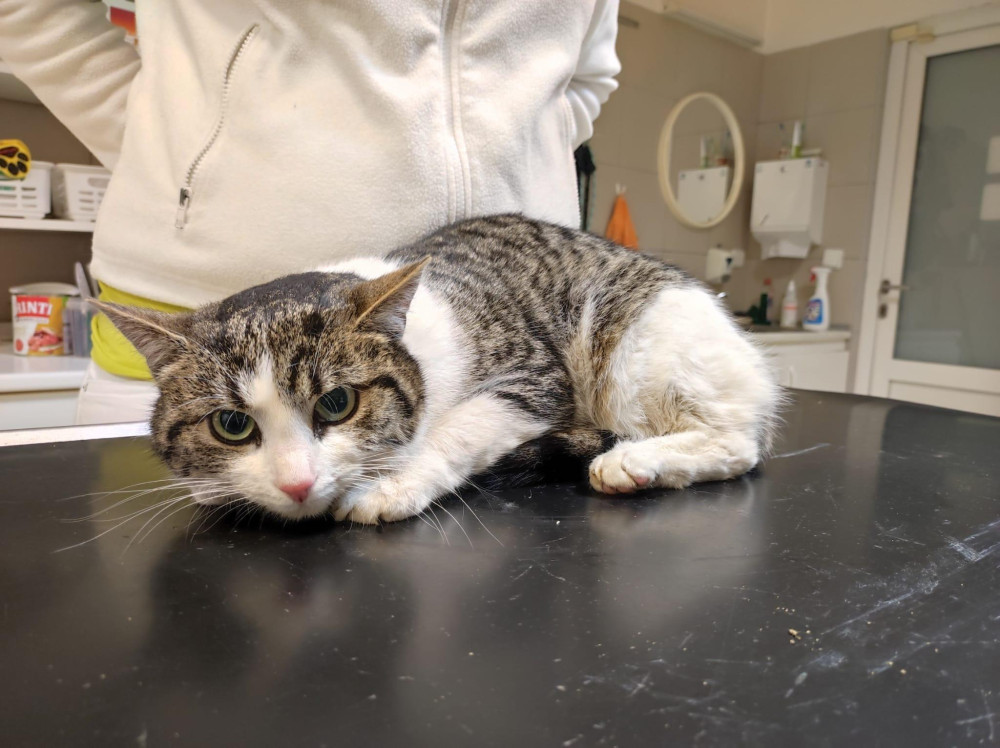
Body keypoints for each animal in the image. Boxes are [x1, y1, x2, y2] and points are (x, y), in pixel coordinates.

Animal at [95, 214, 781, 525]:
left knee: (737, 443)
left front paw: (392, 484)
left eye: (336, 405)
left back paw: (636, 461)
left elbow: (459, 428)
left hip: (636, 345)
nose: (296, 484)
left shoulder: (531, 377)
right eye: (232, 426)